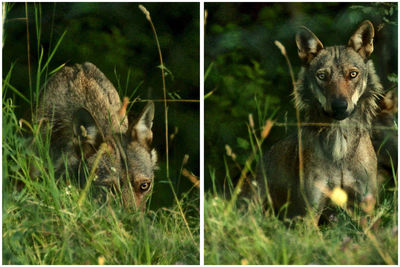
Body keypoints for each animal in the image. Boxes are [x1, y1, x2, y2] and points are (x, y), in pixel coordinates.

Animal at [258, 21, 382, 221]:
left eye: (352, 74)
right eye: (322, 76)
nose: (339, 106)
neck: (340, 148)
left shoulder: (366, 207)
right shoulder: (311, 211)